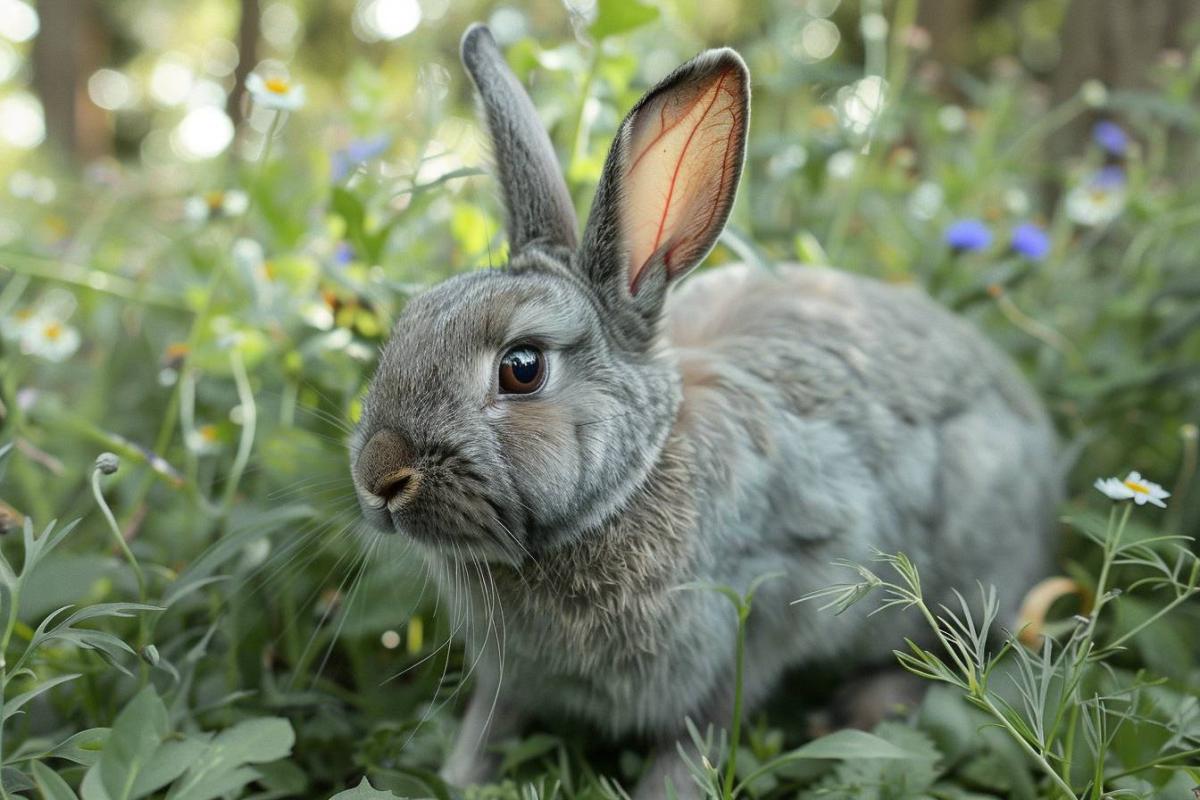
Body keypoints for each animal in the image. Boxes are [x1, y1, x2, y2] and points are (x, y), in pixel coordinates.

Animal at [350, 25, 1060, 800]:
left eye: (522, 367)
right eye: (408, 323)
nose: (379, 477)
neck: (628, 487)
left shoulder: (745, 631)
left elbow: (696, 737)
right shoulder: (512, 679)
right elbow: (489, 721)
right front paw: (458, 776)